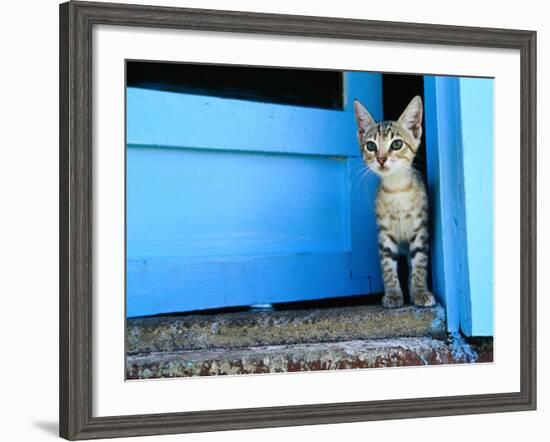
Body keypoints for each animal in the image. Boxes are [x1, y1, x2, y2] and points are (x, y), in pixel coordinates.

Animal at [356, 96, 438, 310]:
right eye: (371, 146)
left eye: (397, 144)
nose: (381, 159)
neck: (396, 190)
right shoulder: (384, 234)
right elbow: (387, 265)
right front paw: (393, 294)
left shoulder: (420, 230)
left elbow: (419, 263)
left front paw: (420, 292)